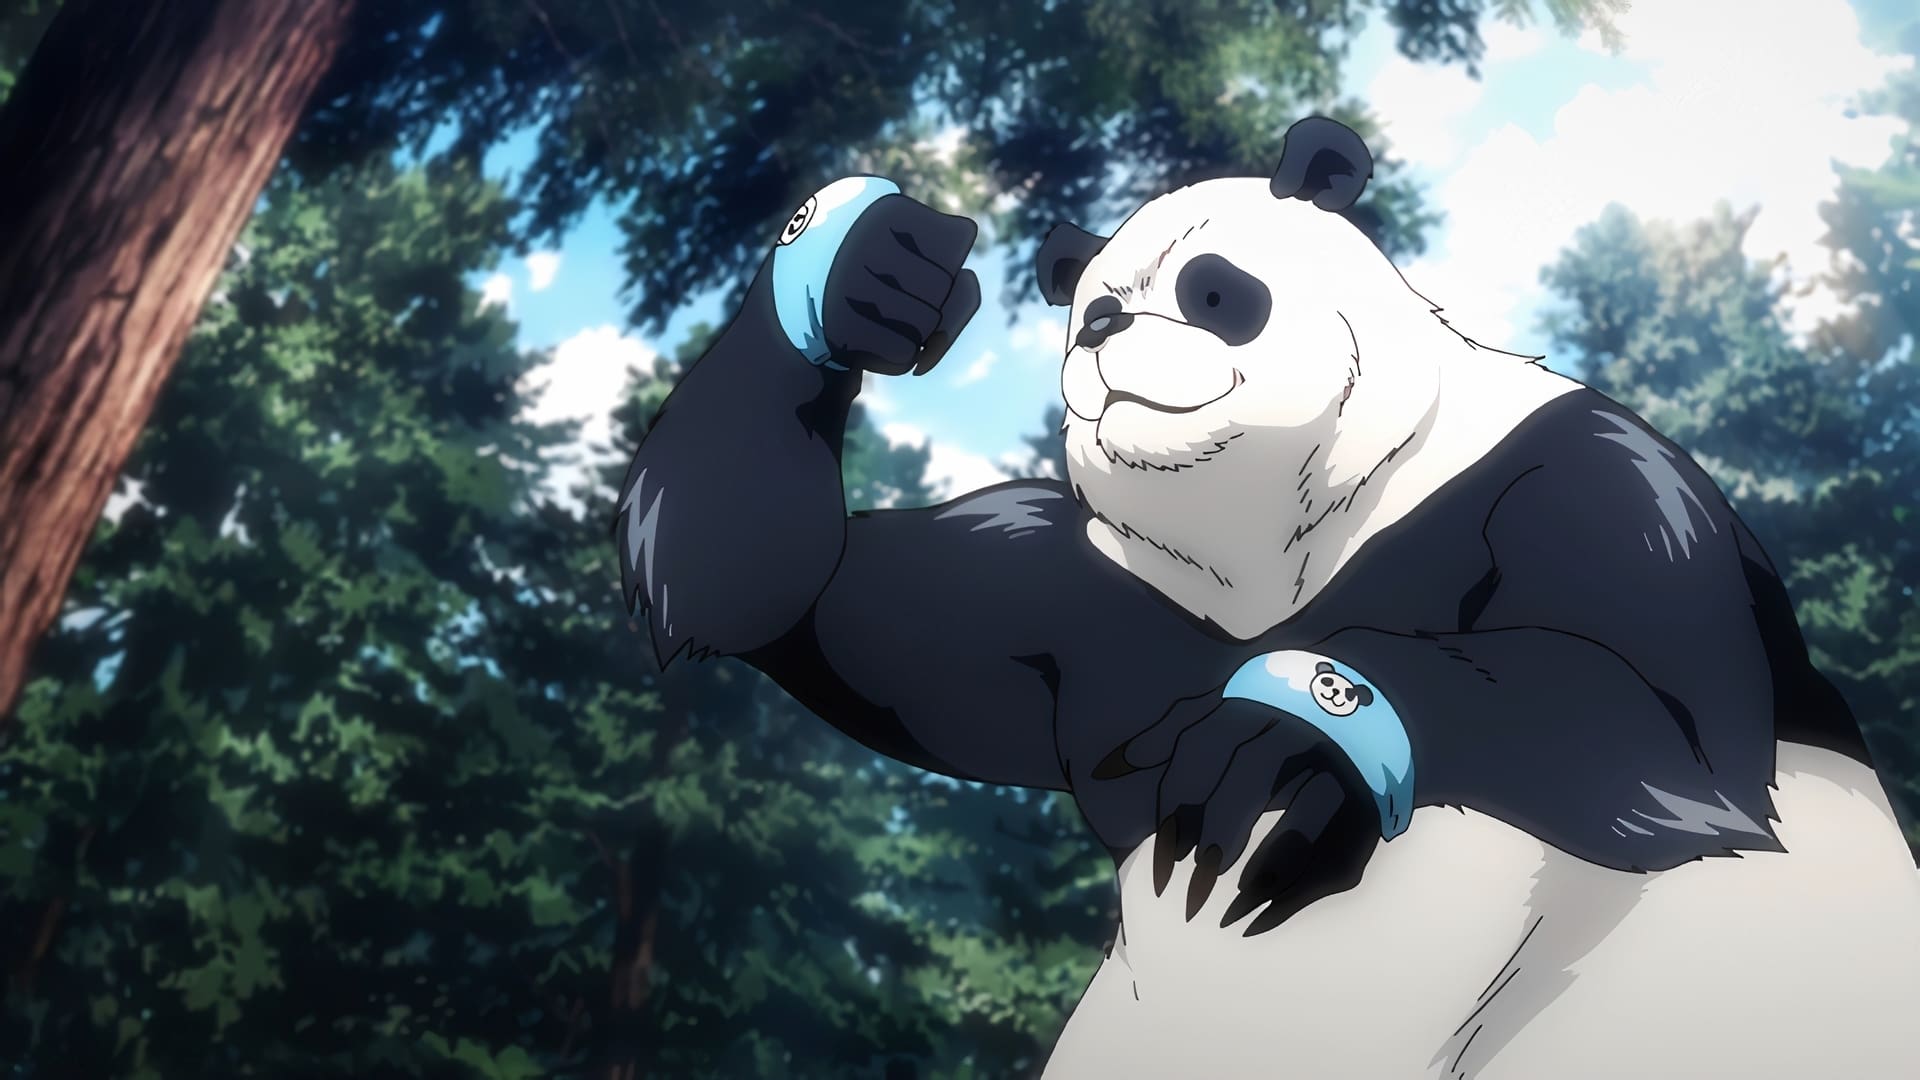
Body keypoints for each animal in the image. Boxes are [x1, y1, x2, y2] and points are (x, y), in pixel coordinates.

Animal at [613, 118, 1920, 1078]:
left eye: (1213, 290)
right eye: (1095, 310)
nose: (1105, 335)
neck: (1285, 545)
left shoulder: (1588, 483)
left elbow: (1662, 734)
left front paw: (1283, 736)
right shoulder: (1079, 589)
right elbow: (781, 597)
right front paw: (868, 264)